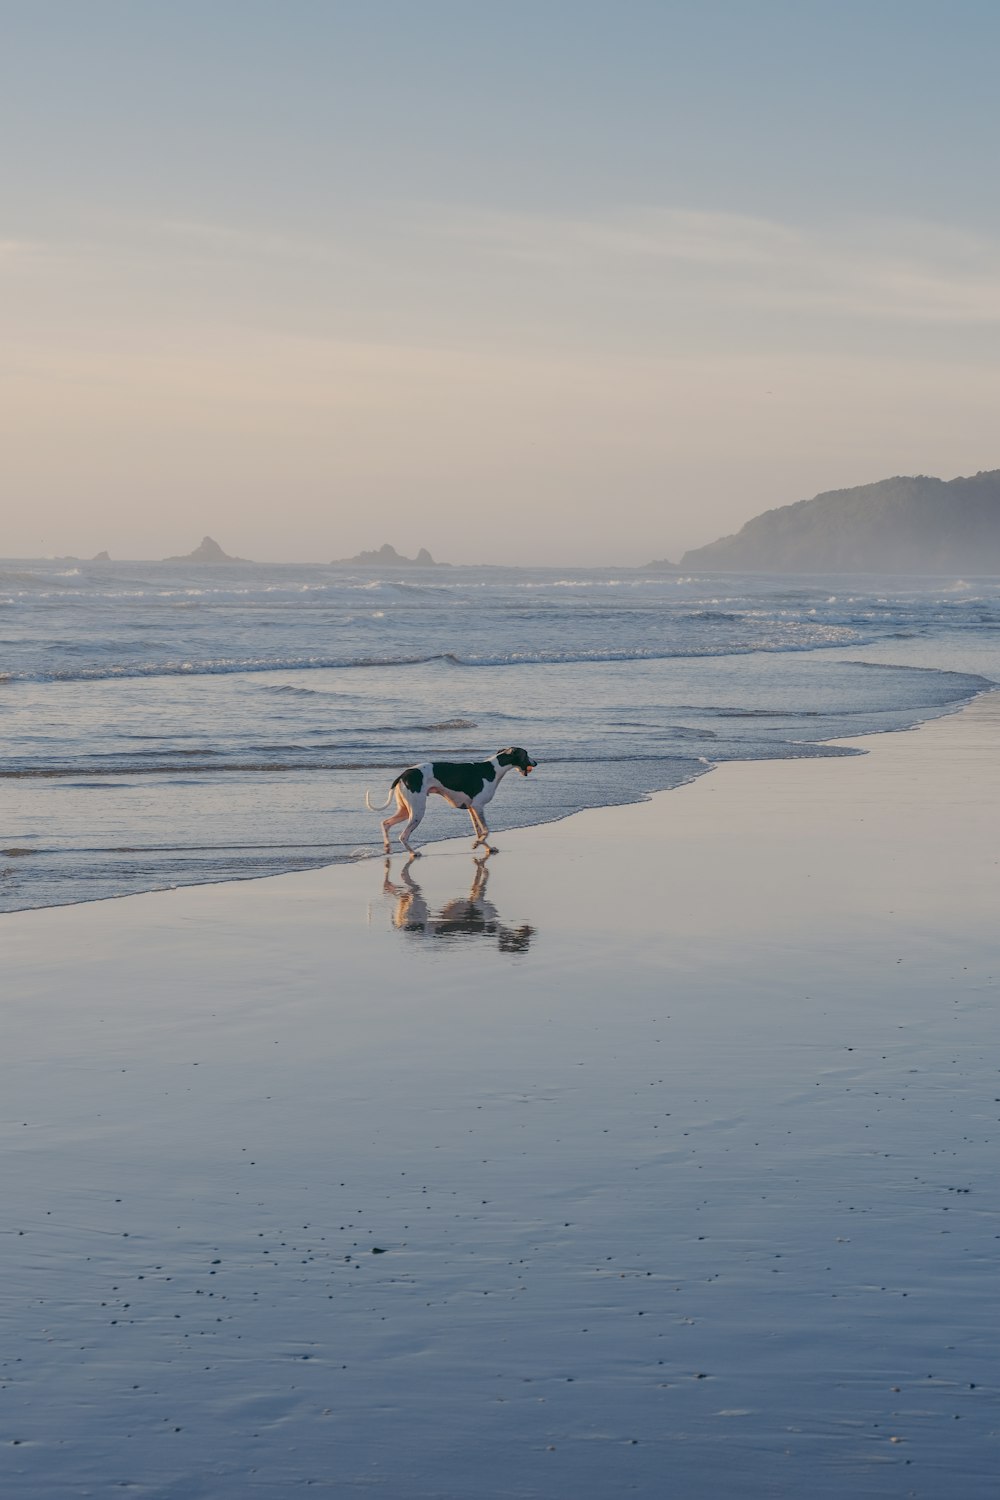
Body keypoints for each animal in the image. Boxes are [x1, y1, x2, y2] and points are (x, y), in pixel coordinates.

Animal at [365, 741, 539, 852]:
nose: (536, 763)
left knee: (385, 823)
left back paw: (387, 847)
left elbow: (480, 832)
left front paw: (486, 847)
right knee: (403, 836)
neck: (493, 769)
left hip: (406, 810)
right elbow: (486, 831)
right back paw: (413, 853)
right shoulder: (477, 806)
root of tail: (404, 774)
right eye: (526, 754)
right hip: (417, 812)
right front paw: (478, 844)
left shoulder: (471, 809)